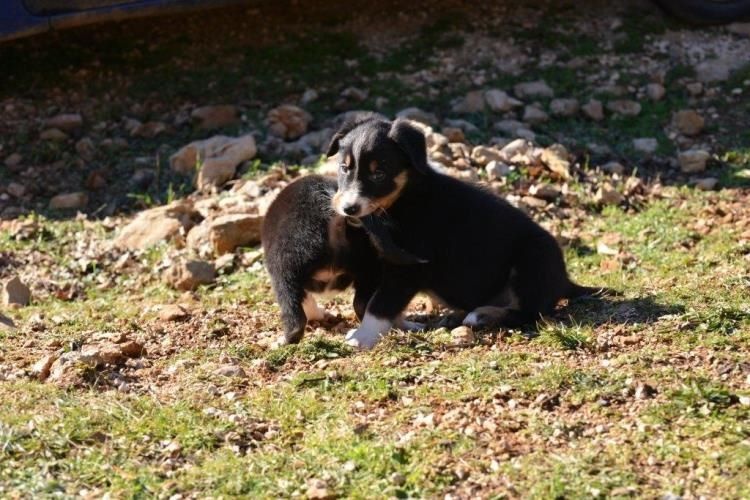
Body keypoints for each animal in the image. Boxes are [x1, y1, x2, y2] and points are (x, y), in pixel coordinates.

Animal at [262, 174, 424, 346]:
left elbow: (307, 302)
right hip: (368, 265)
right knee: (364, 303)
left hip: (283, 271)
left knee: (295, 318)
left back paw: (281, 342)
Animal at [328, 115, 610, 349]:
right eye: (344, 168)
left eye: (379, 173)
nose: (349, 208)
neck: (404, 200)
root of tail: (564, 280)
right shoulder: (378, 262)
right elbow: (363, 302)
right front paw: (402, 325)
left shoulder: (410, 266)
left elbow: (380, 304)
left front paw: (363, 337)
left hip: (533, 259)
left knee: (528, 312)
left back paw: (481, 315)